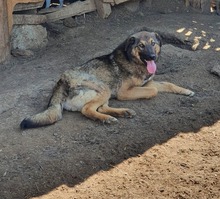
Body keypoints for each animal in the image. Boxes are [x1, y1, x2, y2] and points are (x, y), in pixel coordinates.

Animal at [19, 31, 194, 129]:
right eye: (141, 46)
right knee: (87, 109)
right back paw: (107, 119)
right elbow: (154, 90)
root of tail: (61, 82)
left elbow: (168, 84)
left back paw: (123, 113)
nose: (152, 57)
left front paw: (186, 91)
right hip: (104, 88)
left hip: (105, 92)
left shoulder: (148, 82)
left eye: (153, 43)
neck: (133, 60)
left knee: (100, 107)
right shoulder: (124, 92)